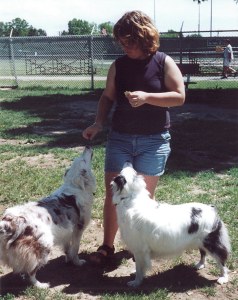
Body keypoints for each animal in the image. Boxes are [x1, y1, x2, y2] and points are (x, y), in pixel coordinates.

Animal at [0, 146, 96, 288]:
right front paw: (78, 262)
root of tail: (12, 222)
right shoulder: (78, 229)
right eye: (83, 160)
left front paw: (68, 259)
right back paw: (41, 285)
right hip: (44, 245)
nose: (87, 146)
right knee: (31, 272)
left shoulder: (66, 231)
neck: (75, 186)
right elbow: (75, 249)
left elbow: (67, 249)